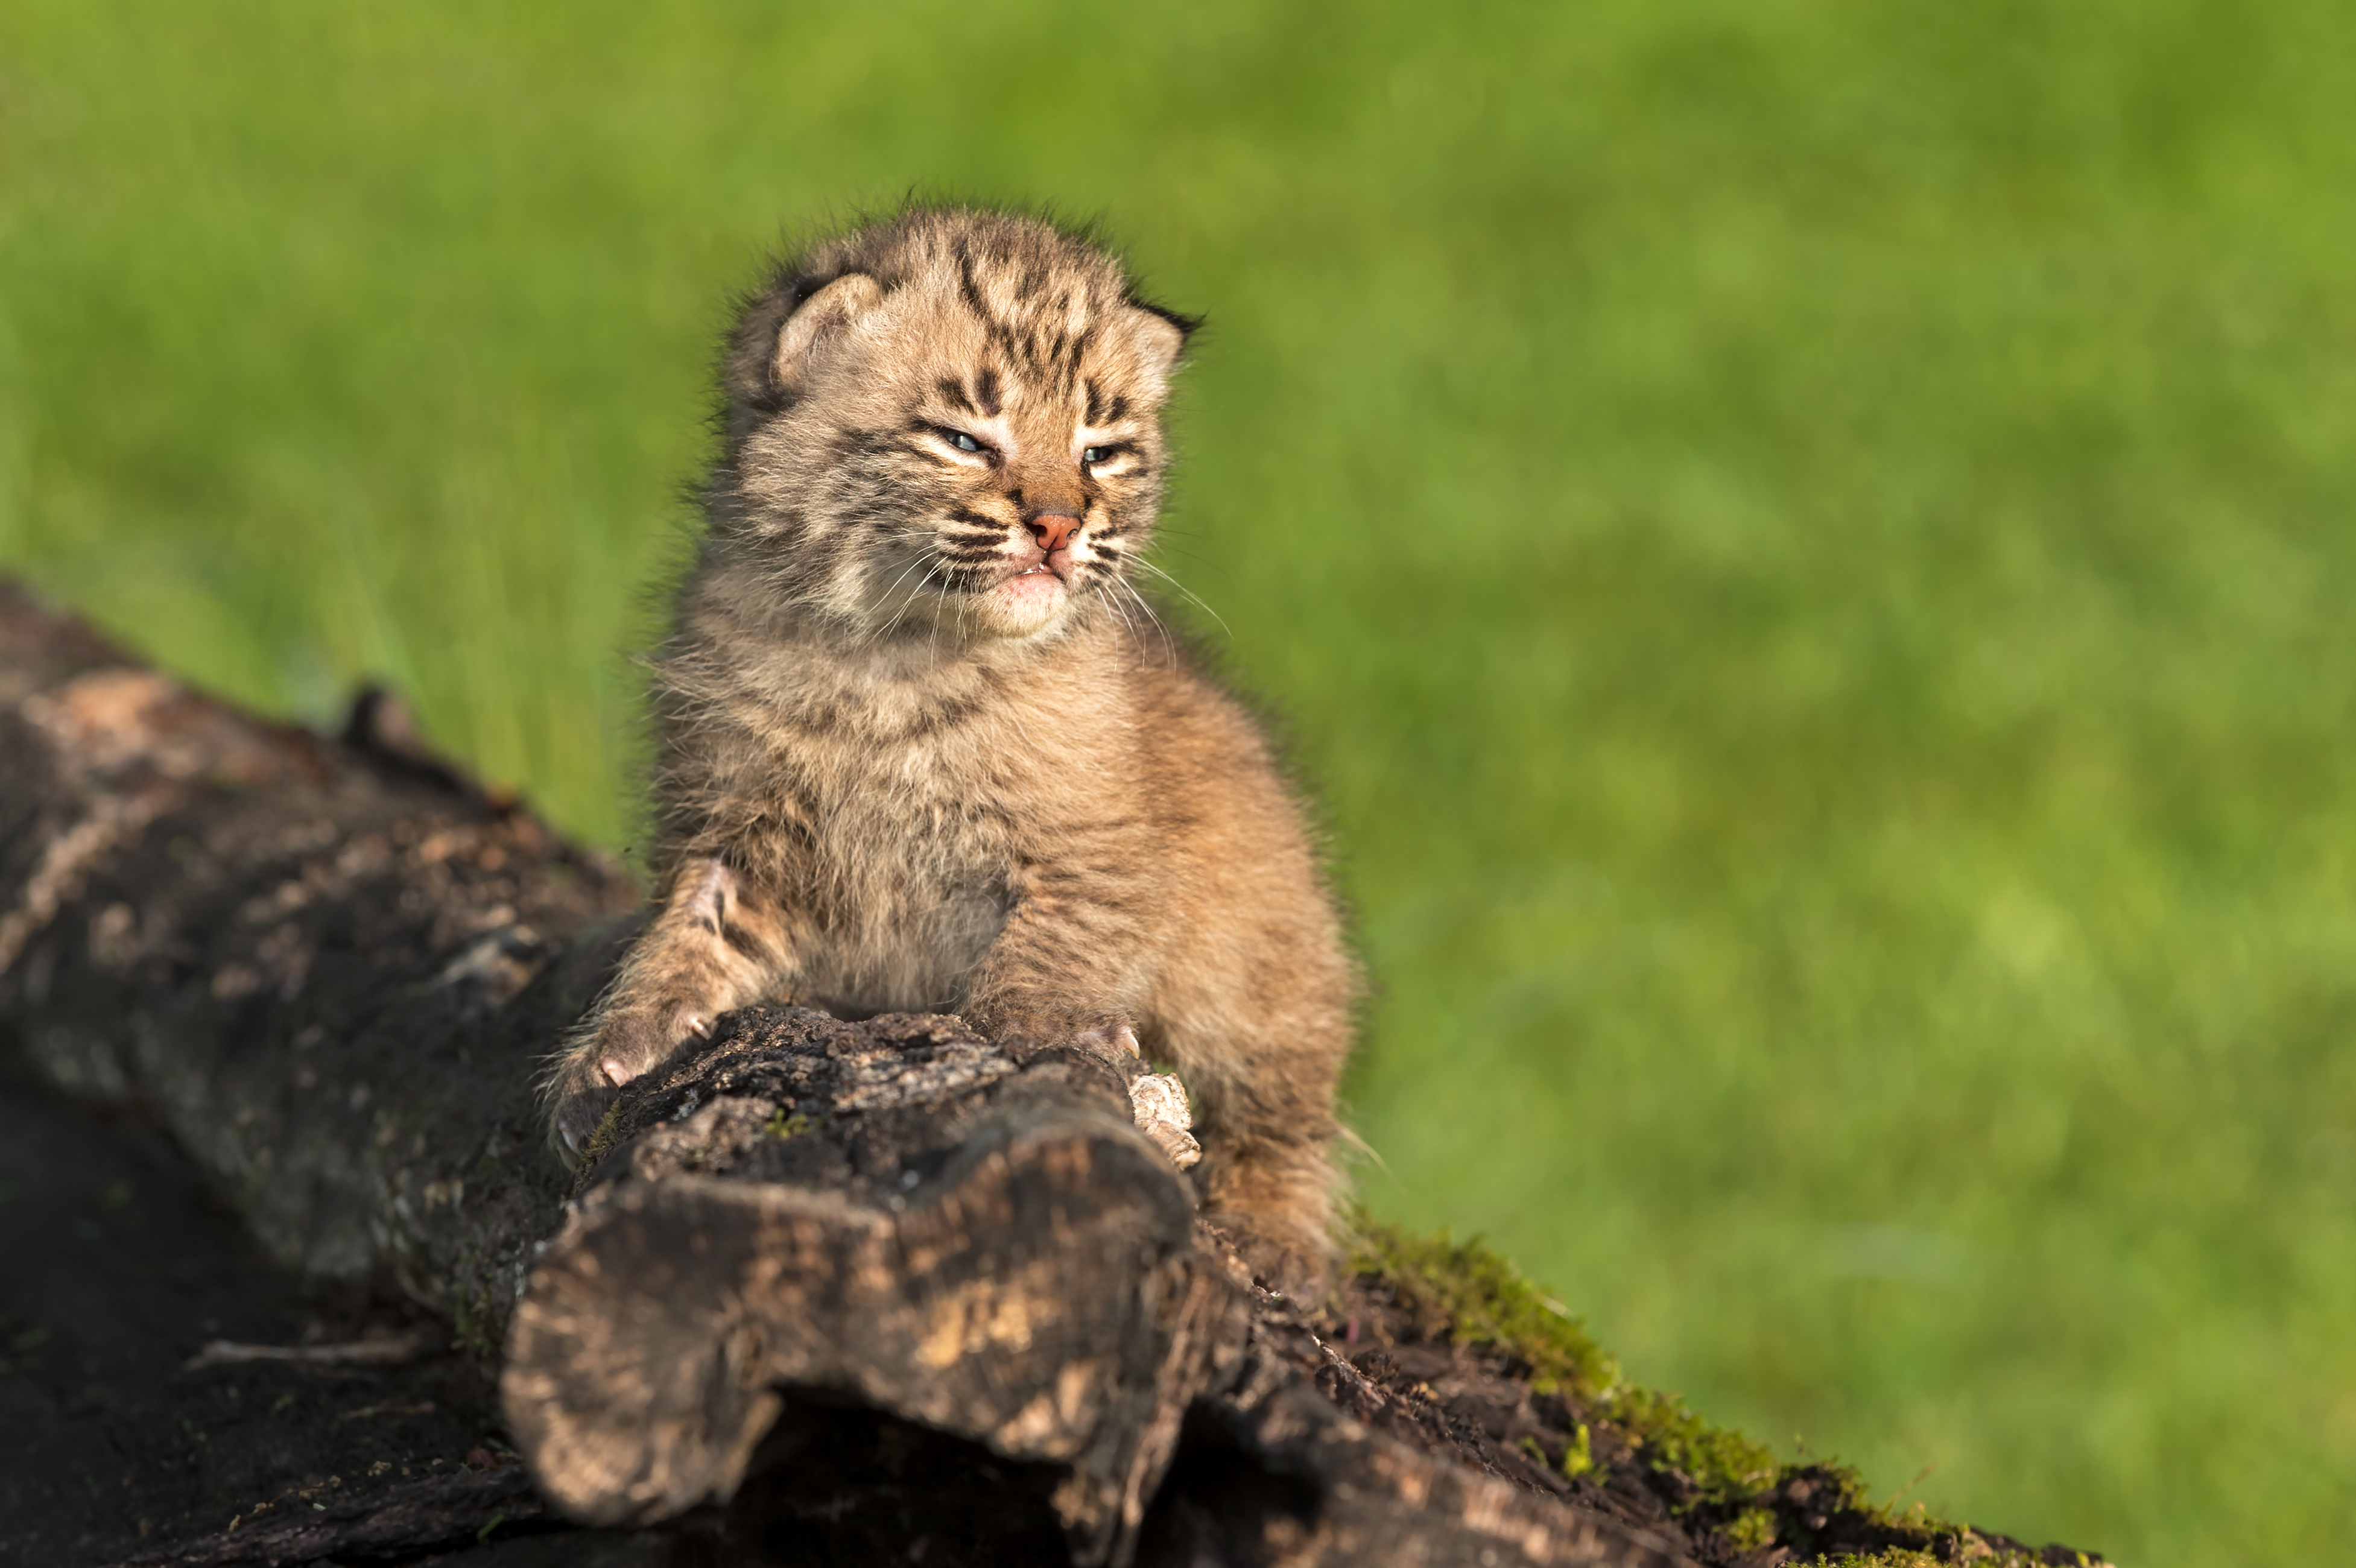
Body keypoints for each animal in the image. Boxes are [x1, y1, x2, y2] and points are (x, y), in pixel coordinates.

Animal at [549, 204, 1357, 1271]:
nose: (1058, 526)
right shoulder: (738, 832)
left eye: (1101, 452)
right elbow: (687, 934)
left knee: (1286, 1111)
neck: (891, 656)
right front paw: (617, 1050)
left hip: (1269, 951)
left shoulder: (1095, 853)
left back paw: (1273, 1237)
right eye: (965, 439)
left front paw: (1031, 1043)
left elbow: (1050, 958)